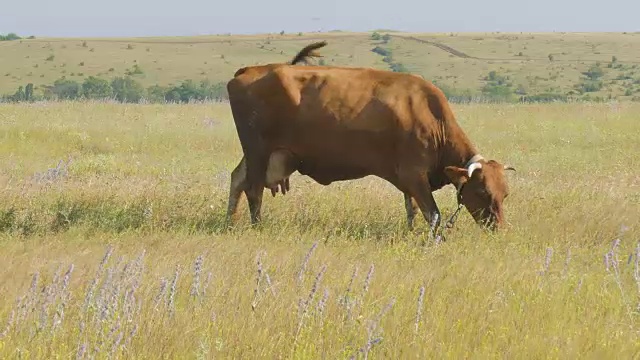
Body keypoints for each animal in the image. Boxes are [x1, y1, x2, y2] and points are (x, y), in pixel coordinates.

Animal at [225, 41, 516, 233]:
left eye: (505, 194)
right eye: (482, 191)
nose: (499, 229)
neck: (429, 114)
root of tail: (249, 71)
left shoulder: (409, 180)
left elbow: (411, 209)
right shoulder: (414, 174)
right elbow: (432, 214)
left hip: (258, 155)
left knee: (237, 179)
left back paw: (230, 222)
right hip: (258, 152)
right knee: (253, 189)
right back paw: (256, 226)